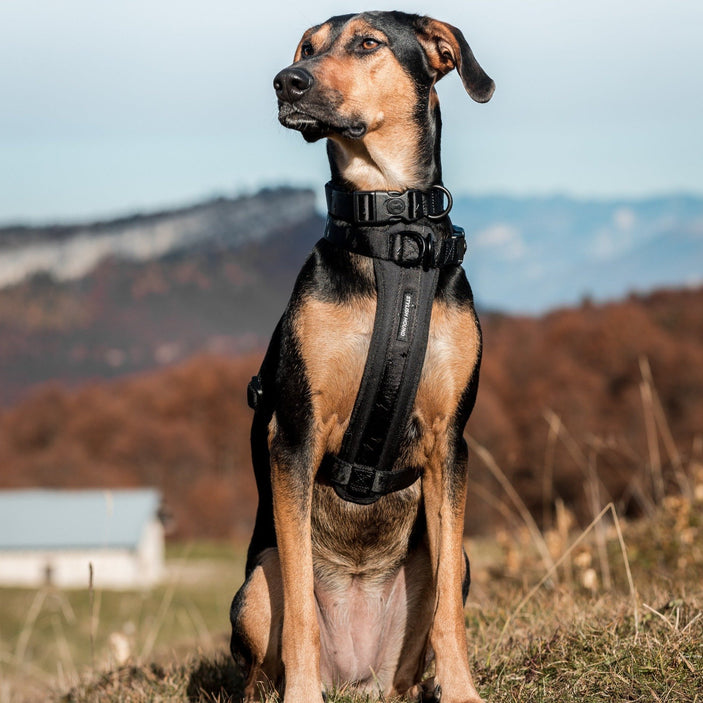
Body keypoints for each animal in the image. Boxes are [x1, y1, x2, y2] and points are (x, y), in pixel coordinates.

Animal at [231, 11, 496, 703]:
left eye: (367, 43)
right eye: (307, 47)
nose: (286, 81)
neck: (390, 234)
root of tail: (356, 676)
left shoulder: (450, 440)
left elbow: (450, 616)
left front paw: (462, 691)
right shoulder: (294, 435)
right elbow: (300, 609)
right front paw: (300, 696)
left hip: (446, 571)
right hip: (255, 584)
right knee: (264, 653)